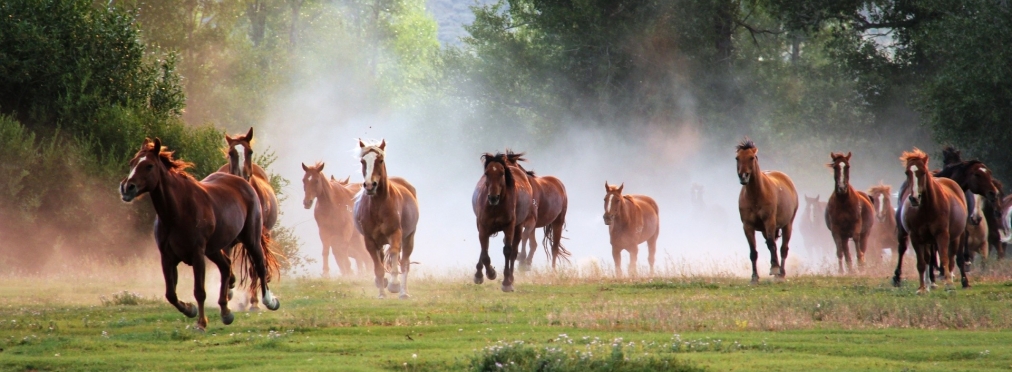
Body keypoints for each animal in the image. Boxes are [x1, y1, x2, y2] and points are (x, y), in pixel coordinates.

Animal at [119, 138, 281, 329]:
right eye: (132, 163)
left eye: (149, 166)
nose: (127, 188)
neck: (178, 211)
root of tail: (244, 183)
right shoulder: (167, 257)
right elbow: (170, 294)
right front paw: (190, 310)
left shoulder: (197, 255)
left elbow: (199, 291)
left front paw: (201, 323)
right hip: (215, 249)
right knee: (226, 267)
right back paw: (226, 312)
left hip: (251, 239)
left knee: (259, 266)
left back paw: (269, 301)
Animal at [356, 139, 418, 299]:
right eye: (362, 161)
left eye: (380, 160)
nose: (369, 185)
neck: (378, 206)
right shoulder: (369, 240)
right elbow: (378, 267)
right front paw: (381, 292)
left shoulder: (395, 233)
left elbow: (395, 254)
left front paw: (394, 285)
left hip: (409, 237)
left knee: (405, 262)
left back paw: (403, 293)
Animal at [473, 151, 538, 291]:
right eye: (487, 173)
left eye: (502, 173)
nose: (493, 198)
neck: (496, 206)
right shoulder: (482, 226)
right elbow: (484, 251)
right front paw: (488, 273)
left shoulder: (509, 226)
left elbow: (508, 251)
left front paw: (507, 282)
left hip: (518, 228)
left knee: (514, 251)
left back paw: (511, 278)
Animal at [736, 138, 797, 283]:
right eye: (737, 158)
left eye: (752, 157)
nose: (743, 177)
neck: (756, 195)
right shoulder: (747, 226)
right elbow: (753, 251)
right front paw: (754, 277)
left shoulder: (769, 221)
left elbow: (771, 244)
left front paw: (774, 268)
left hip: (787, 225)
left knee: (782, 248)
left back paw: (781, 273)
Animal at [898, 148, 967, 293]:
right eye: (907, 173)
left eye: (923, 172)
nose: (914, 198)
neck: (926, 209)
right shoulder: (915, 237)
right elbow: (921, 263)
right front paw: (922, 288)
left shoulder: (942, 234)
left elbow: (945, 258)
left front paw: (949, 284)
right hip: (928, 241)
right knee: (928, 258)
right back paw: (929, 284)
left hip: (956, 236)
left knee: (952, 258)